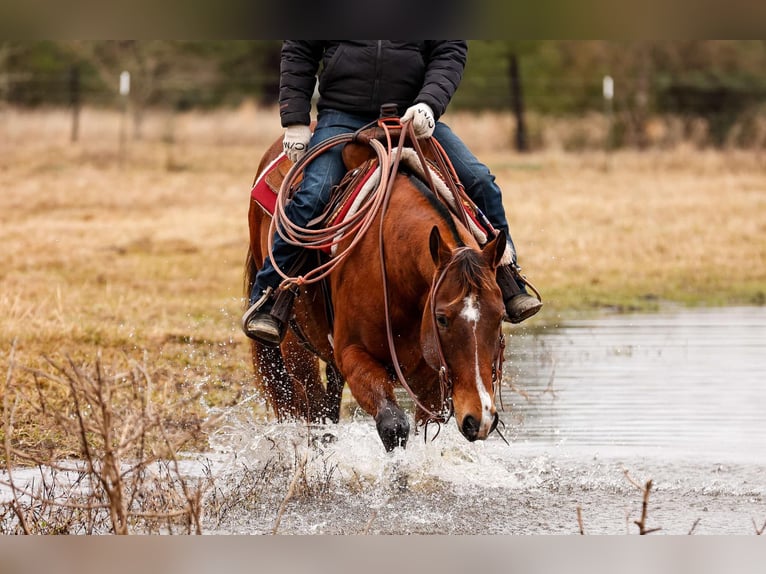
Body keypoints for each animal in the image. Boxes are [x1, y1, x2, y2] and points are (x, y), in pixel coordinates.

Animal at [246, 124, 510, 452]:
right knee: (313, 410)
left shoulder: (433, 379)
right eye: (442, 318)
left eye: (499, 316)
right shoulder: (354, 355)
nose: (480, 418)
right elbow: (394, 426)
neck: (398, 274)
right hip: (295, 349)